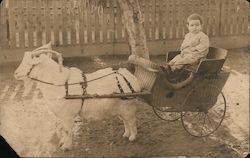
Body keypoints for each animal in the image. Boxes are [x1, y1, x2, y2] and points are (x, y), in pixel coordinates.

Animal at [14, 50, 143, 150]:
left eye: (29, 63)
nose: (15, 73)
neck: (59, 82)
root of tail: (131, 78)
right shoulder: (63, 116)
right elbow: (64, 130)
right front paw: (63, 142)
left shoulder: (67, 115)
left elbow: (67, 130)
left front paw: (66, 147)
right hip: (120, 108)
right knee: (125, 121)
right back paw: (126, 134)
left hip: (128, 107)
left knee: (132, 121)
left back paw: (132, 137)